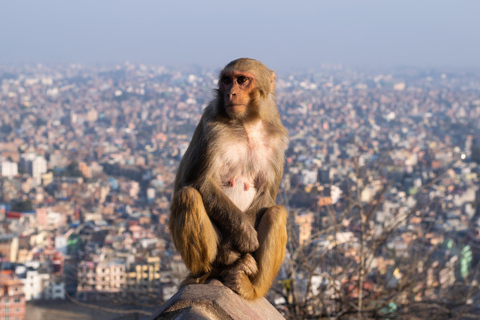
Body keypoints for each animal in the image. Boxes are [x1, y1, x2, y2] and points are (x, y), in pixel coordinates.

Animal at [170, 58, 288, 300]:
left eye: (242, 80)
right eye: (226, 80)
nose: (230, 93)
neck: (247, 125)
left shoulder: (277, 142)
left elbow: (266, 194)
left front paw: (245, 250)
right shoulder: (212, 128)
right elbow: (200, 183)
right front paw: (243, 238)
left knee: (277, 213)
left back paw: (249, 285)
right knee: (189, 196)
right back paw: (213, 268)